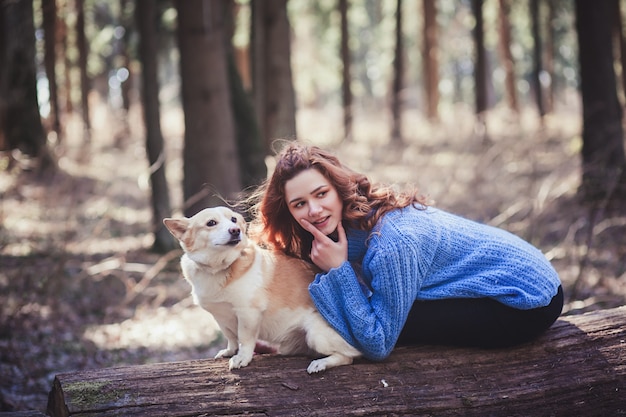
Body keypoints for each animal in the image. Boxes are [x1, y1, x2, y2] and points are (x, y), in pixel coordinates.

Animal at [162, 206, 360, 372]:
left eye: (234, 220)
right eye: (211, 223)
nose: (235, 230)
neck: (217, 268)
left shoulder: (248, 313)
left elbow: (245, 339)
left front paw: (242, 358)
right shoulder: (220, 317)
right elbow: (231, 337)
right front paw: (230, 351)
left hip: (316, 335)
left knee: (349, 356)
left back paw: (321, 363)